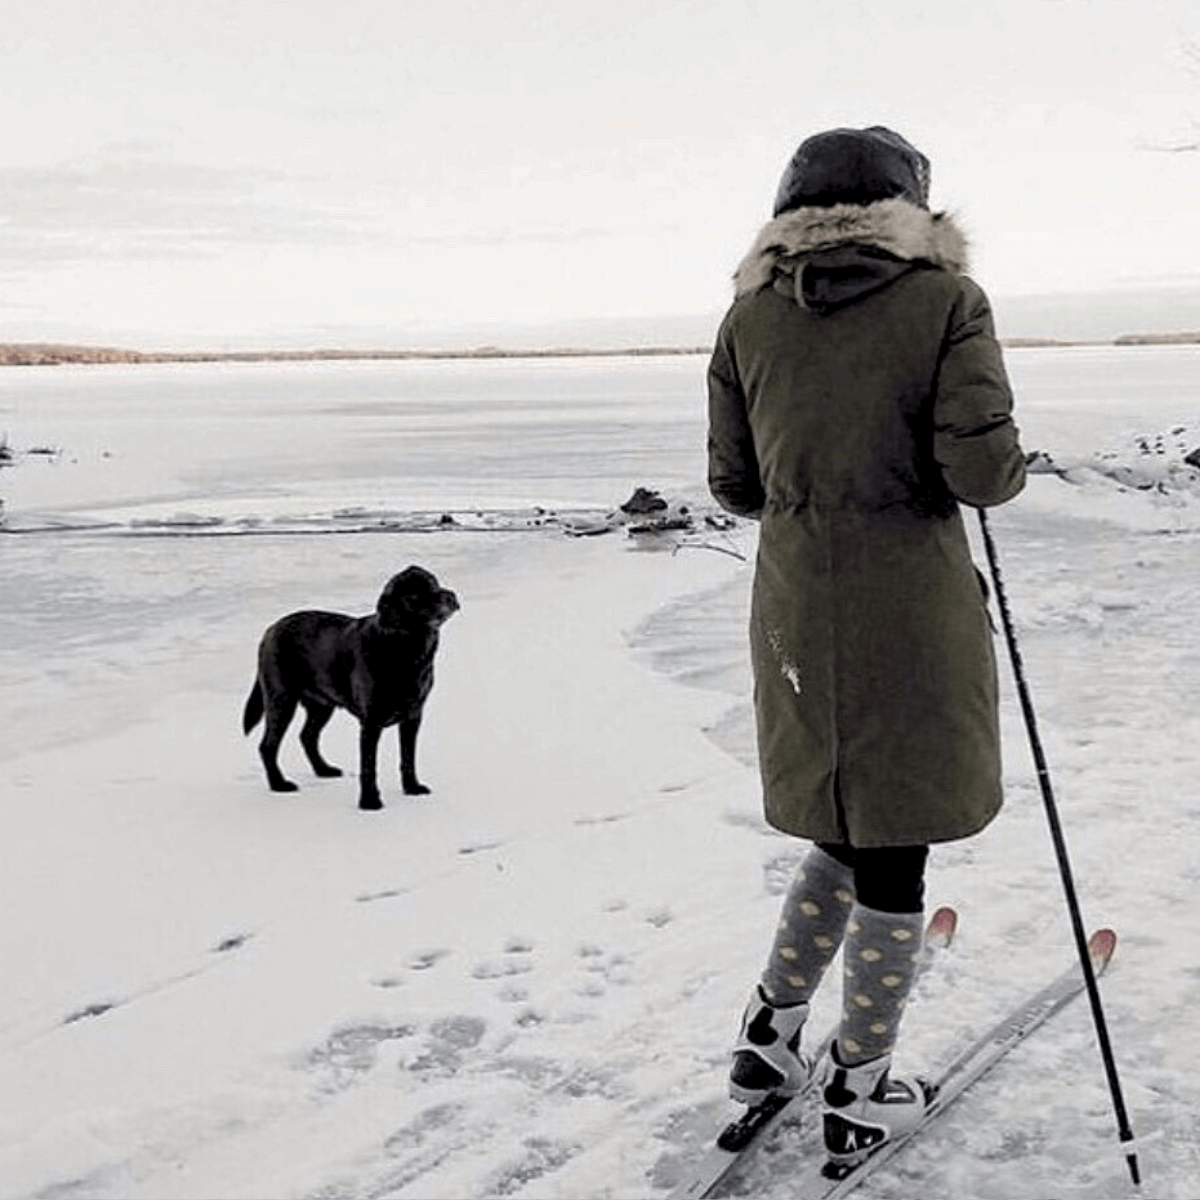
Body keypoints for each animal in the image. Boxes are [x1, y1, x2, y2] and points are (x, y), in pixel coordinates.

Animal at [241, 566, 456, 811]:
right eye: (414, 596)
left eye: (435, 583)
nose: (450, 596)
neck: (404, 648)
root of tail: (270, 629)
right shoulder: (371, 721)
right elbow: (369, 766)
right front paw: (370, 801)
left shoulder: (413, 715)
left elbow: (408, 758)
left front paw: (412, 788)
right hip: (281, 701)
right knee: (268, 746)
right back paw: (279, 784)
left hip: (321, 706)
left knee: (307, 736)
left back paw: (323, 770)